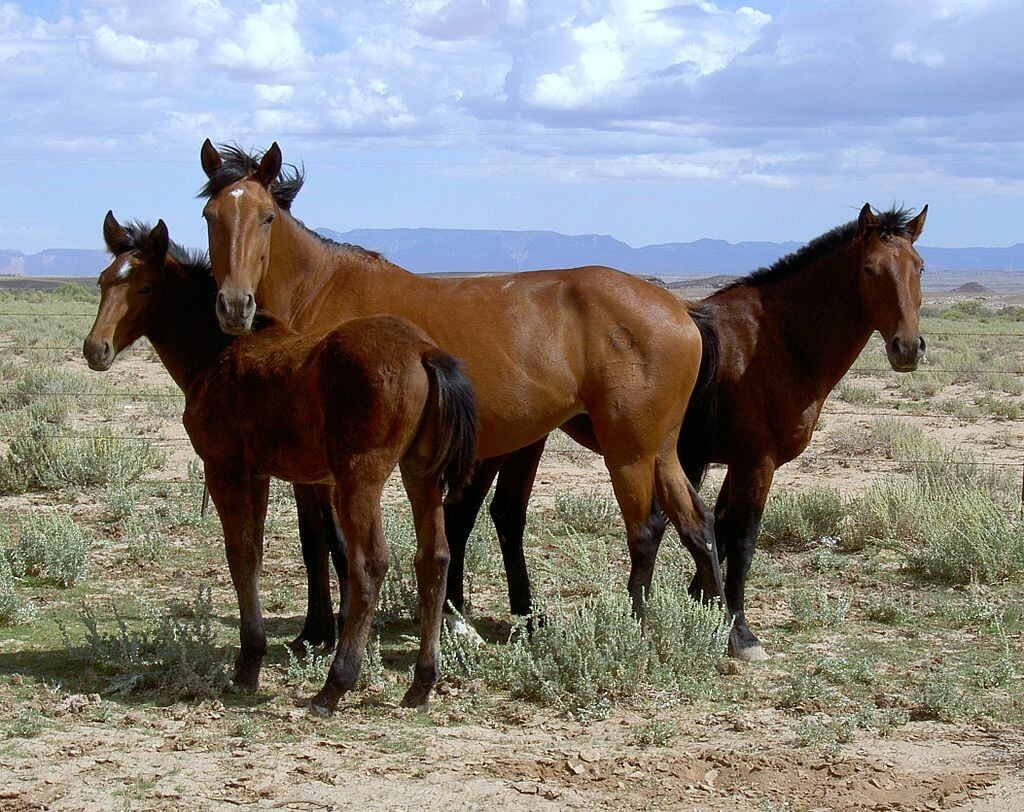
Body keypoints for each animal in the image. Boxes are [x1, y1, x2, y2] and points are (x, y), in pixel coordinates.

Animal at [80, 211, 479, 712]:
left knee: (369, 565)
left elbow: (241, 555)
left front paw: (248, 665)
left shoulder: (225, 468)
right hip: (420, 474)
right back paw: (421, 685)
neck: (218, 354)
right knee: (434, 559)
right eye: (102, 281)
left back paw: (334, 685)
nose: (96, 349)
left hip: (360, 478)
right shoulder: (262, 474)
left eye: (146, 287)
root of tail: (424, 352)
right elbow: (254, 553)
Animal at [195, 138, 733, 647]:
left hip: (628, 451)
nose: (234, 306)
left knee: (645, 530)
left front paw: (324, 632)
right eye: (210, 215)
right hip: (659, 448)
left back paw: (637, 626)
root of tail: (682, 309)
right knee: (698, 522)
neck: (322, 295)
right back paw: (731, 633)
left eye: (266, 217)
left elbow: (326, 543)